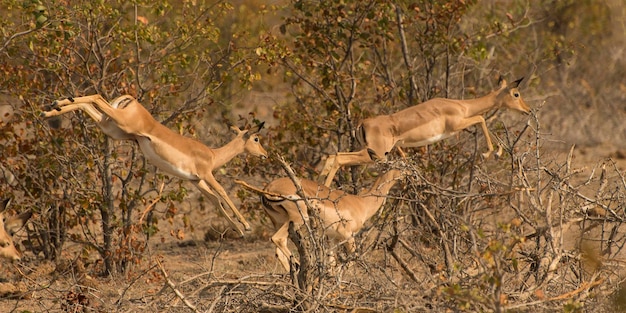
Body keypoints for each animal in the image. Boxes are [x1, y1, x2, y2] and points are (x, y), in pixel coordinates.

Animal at [40, 94, 266, 235]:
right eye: (256, 139)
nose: (265, 154)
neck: (212, 154)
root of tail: (131, 100)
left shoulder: (196, 181)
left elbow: (215, 201)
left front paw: (237, 229)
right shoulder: (206, 174)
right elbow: (223, 193)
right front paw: (246, 226)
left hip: (109, 126)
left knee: (88, 104)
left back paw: (51, 108)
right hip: (118, 122)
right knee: (95, 97)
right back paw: (55, 104)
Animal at [236, 168, 402, 270]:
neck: (362, 202)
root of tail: (268, 188)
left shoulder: (333, 239)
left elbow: (332, 262)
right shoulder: (348, 236)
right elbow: (353, 259)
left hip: (279, 222)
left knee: (278, 252)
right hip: (298, 219)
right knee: (278, 239)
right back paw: (299, 266)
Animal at [320, 77, 528, 185]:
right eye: (516, 94)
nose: (528, 110)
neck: (461, 106)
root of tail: (362, 123)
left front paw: (498, 152)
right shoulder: (457, 125)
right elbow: (482, 119)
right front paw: (489, 153)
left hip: (370, 151)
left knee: (332, 156)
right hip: (376, 155)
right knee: (339, 158)